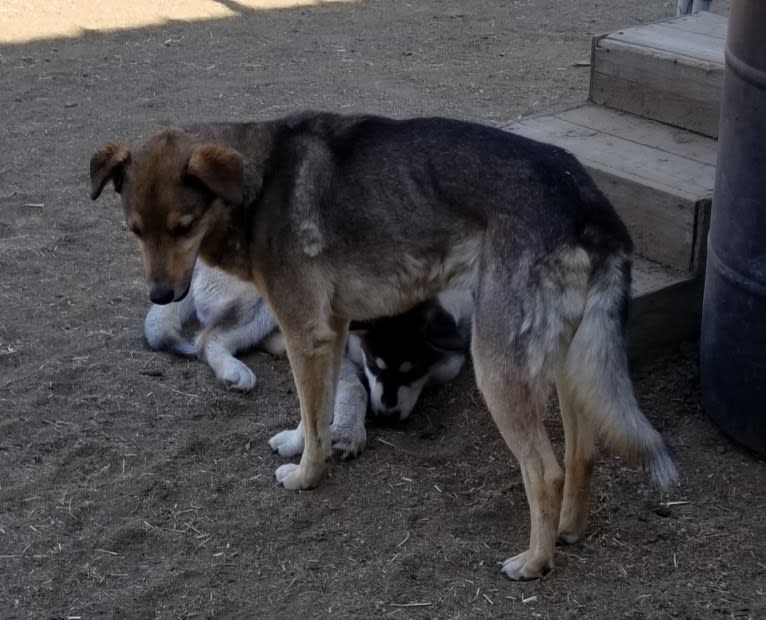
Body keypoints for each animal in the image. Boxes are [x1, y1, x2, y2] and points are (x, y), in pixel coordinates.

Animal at [91, 112, 680, 580]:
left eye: (182, 226)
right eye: (135, 230)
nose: (161, 294)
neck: (256, 184)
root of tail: (588, 199)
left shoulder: (306, 331)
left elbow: (315, 414)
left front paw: (307, 475)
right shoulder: (330, 332)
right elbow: (317, 408)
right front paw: (303, 441)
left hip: (497, 369)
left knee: (547, 471)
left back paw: (535, 562)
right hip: (564, 364)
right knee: (583, 452)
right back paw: (567, 530)